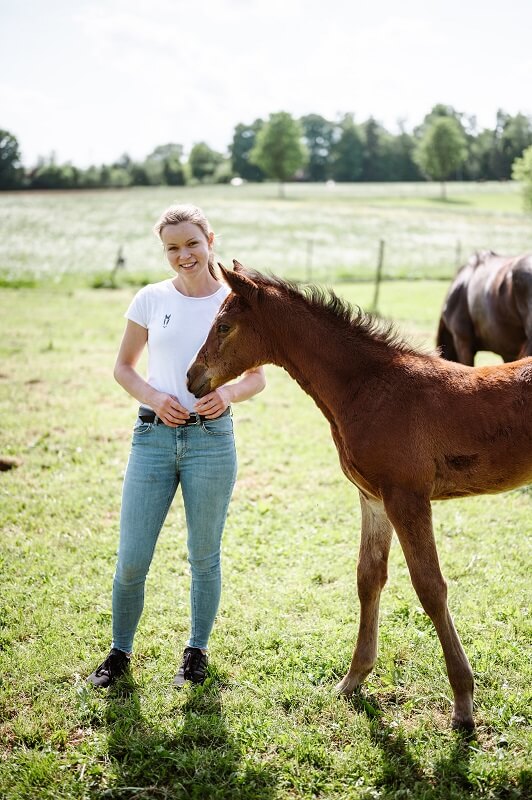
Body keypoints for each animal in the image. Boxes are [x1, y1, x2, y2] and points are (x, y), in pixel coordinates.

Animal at [187, 264, 532, 732]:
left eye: (223, 326)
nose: (191, 378)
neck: (369, 387)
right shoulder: (373, 498)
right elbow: (369, 578)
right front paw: (354, 679)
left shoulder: (407, 497)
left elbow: (430, 587)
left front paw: (463, 702)